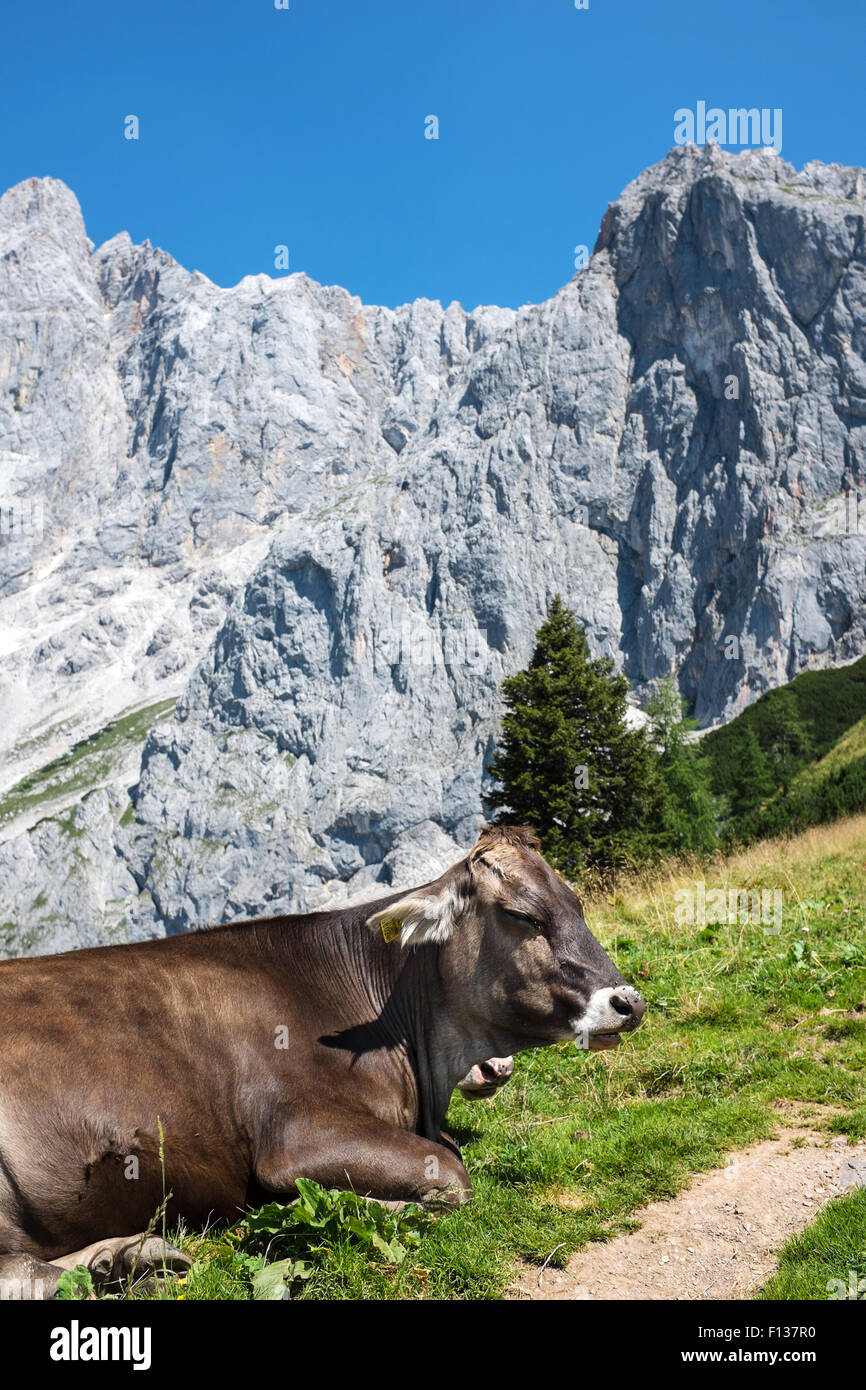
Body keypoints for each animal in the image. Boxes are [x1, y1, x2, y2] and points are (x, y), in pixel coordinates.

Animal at [0, 822, 644, 1289]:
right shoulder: (297, 1134)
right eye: (521, 914)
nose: (629, 1002)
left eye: (577, 901)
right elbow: (451, 1176)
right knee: (22, 1269)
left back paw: (129, 1257)